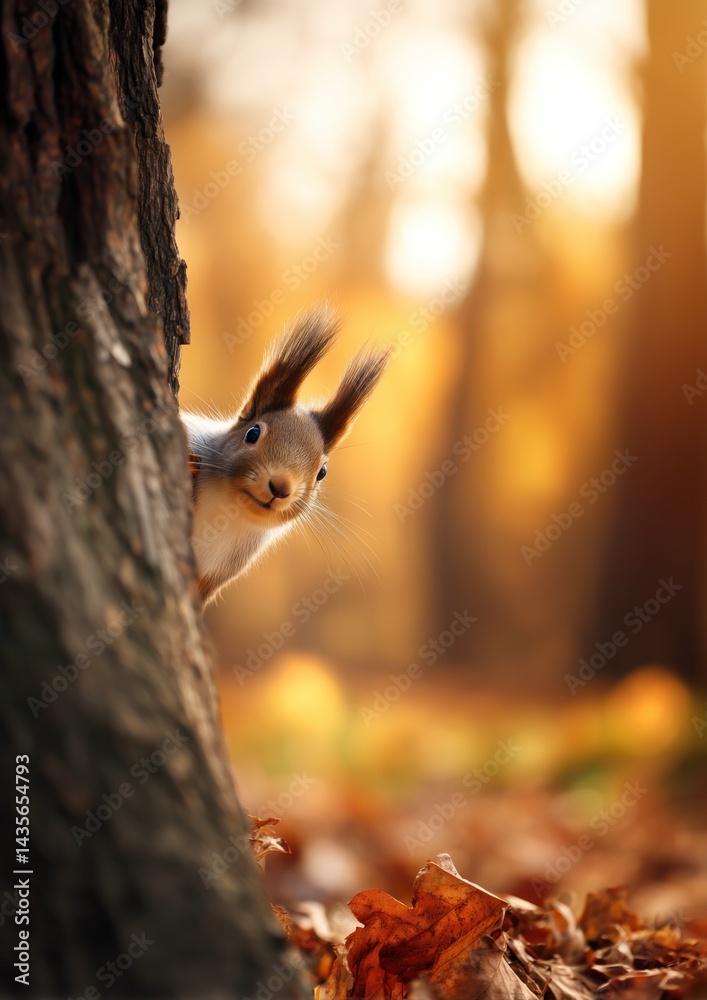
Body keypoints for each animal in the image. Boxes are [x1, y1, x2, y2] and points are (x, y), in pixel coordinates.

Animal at [181, 308, 390, 605]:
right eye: (253, 433)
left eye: (322, 472)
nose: (280, 487)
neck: (228, 513)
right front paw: (189, 465)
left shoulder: (217, 573)